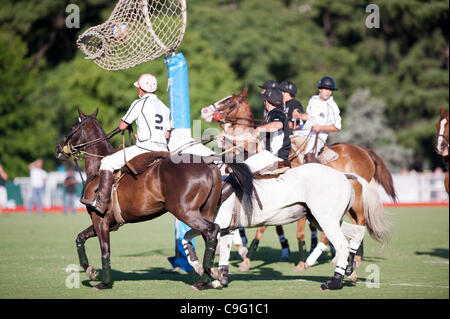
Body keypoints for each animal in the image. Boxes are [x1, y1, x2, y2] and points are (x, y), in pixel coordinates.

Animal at [54, 109, 255, 292]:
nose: (58, 150)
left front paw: (103, 282)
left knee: (212, 230)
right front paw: (89, 270)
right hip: (206, 210)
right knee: (211, 235)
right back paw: (207, 279)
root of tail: (209, 163)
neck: (97, 168)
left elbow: (105, 250)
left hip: (185, 211)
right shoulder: (110, 223)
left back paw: (206, 277)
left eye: (72, 127)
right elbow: (80, 237)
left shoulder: (100, 219)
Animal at [202, 88, 396, 272]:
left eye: (229, 102)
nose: (205, 111)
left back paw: (336, 258)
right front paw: (242, 256)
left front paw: (299, 262)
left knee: (358, 222)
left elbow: (291, 232)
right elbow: (260, 228)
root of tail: (365, 151)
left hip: (351, 201)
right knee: (352, 225)